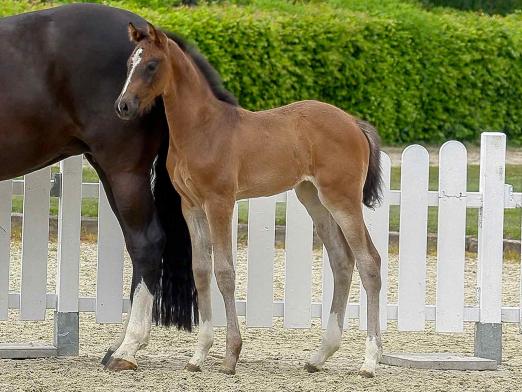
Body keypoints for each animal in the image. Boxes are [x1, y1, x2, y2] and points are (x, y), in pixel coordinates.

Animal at [117, 22, 382, 376]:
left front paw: (231, 355)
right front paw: (198, 355)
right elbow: (201, 270)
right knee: (342, 260)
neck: (203, 129)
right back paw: (319, 356)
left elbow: (225, 272)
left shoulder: (220, 202)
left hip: (343, 200)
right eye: (129, 63)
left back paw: (370, 360)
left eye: (151, 65)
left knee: (369, 262)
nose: (124, 106)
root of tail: (354, 122)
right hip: (313, 198)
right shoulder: (191, 206)